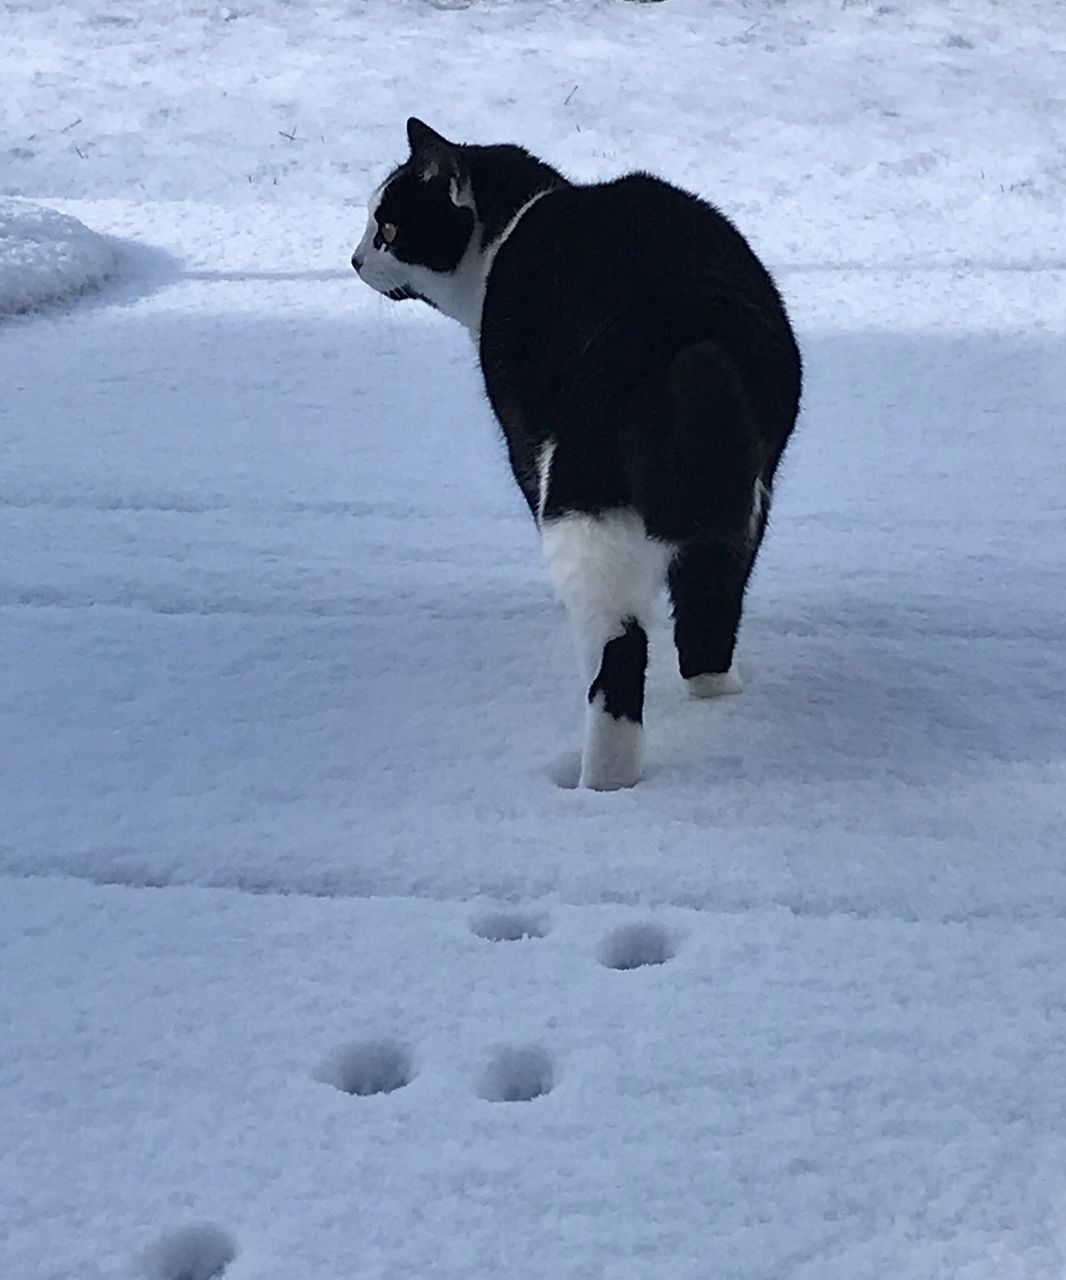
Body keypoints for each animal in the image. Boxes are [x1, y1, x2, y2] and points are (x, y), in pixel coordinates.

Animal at [353, 117, 803, 788]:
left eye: (387, 227)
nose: (354, 258)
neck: (515, 223)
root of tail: (687, 323)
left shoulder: (525, 446)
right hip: (747, 489)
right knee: (712, 600)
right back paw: (715, 693)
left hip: (581, 493)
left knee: (620, 650)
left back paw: (602, 781)